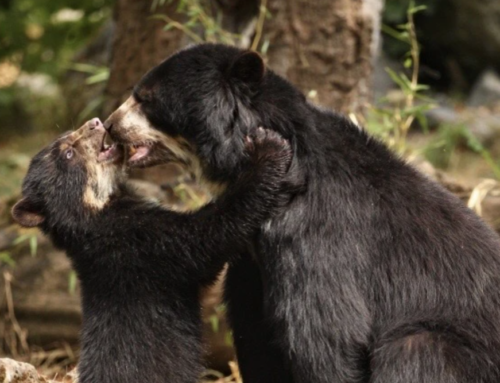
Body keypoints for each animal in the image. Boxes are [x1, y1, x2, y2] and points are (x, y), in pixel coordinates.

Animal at [11, 118, 294, 382]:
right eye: (68, 153)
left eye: (69, 134)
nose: (96, 121)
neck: (96, 211)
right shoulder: (144, 245)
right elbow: (211, 234)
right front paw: (268, 148)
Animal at [103, 44, 500, 383]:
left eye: (146, 98)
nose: (109, 124)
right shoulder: (251, 262)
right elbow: (255, 332)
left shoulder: (317, 233)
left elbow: (327, 333)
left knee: (416, 350)